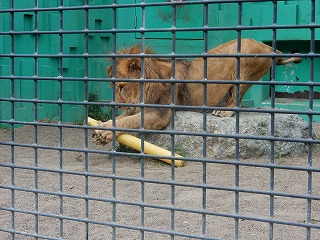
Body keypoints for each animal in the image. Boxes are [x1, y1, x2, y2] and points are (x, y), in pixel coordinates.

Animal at [93, 38, 302, 143]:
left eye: (122, 86)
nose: (118, 104)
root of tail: (267, 46)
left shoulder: (160, 113)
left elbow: (130, 121)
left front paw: (106, 131)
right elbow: (122, 118)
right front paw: (102, 126)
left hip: (245, 70)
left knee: (236, 98)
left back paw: (223, 111)